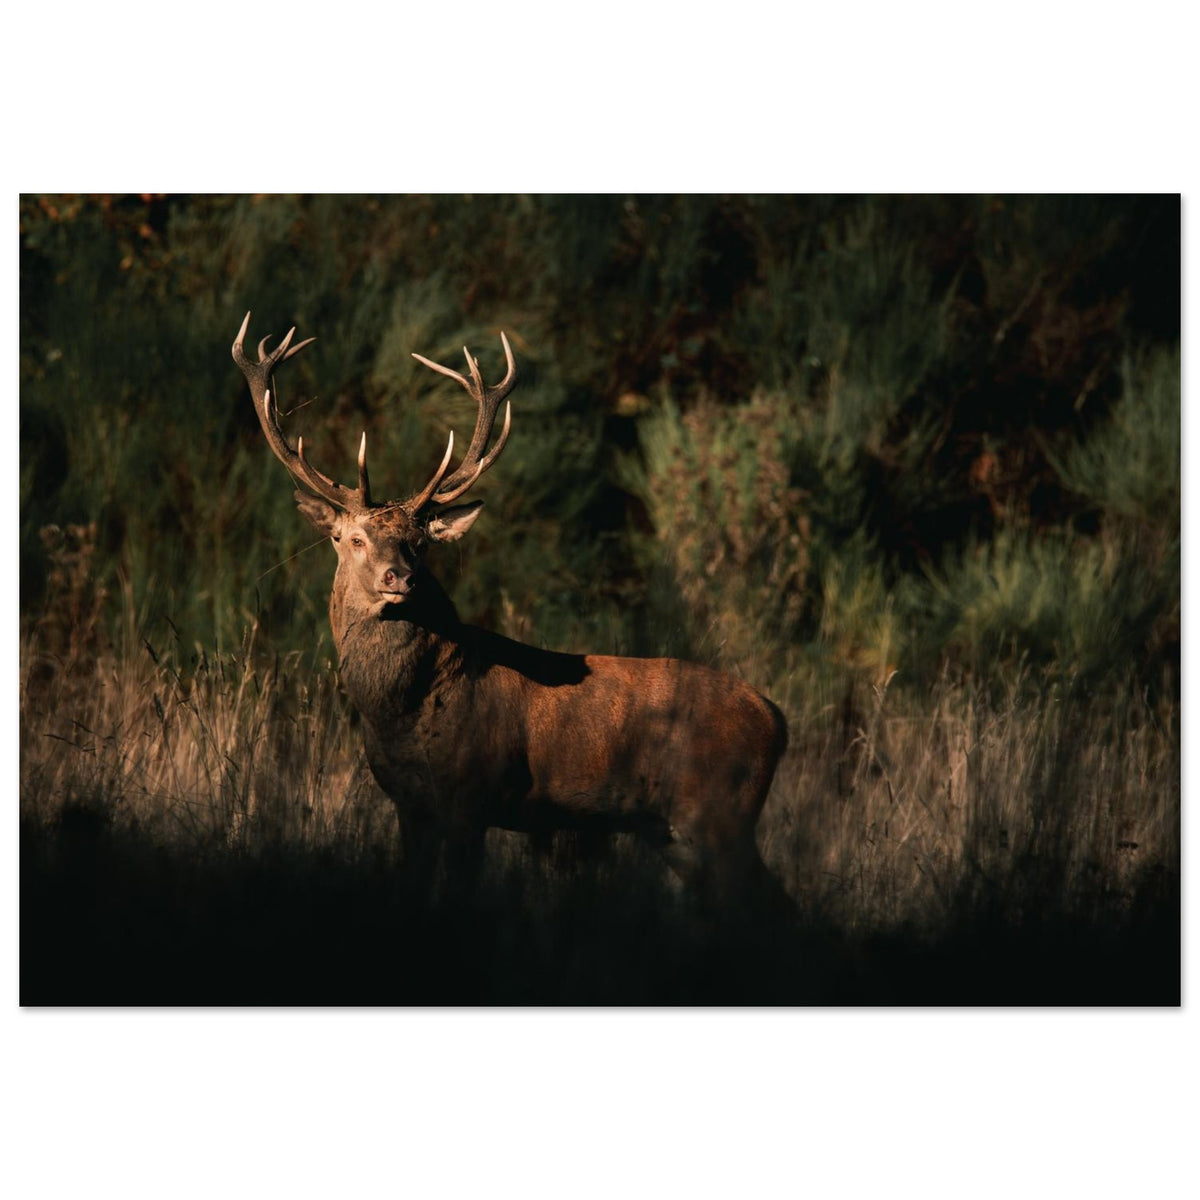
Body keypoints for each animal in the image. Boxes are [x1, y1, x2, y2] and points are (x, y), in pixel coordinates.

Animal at [232, 312, 789, 907]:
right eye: (351, 538)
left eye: (420, 542)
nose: (399, 577)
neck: (400, 713)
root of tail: (776, 720)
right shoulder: (409, 804)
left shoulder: (470, 796)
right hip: (675, 832)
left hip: (720, 814)